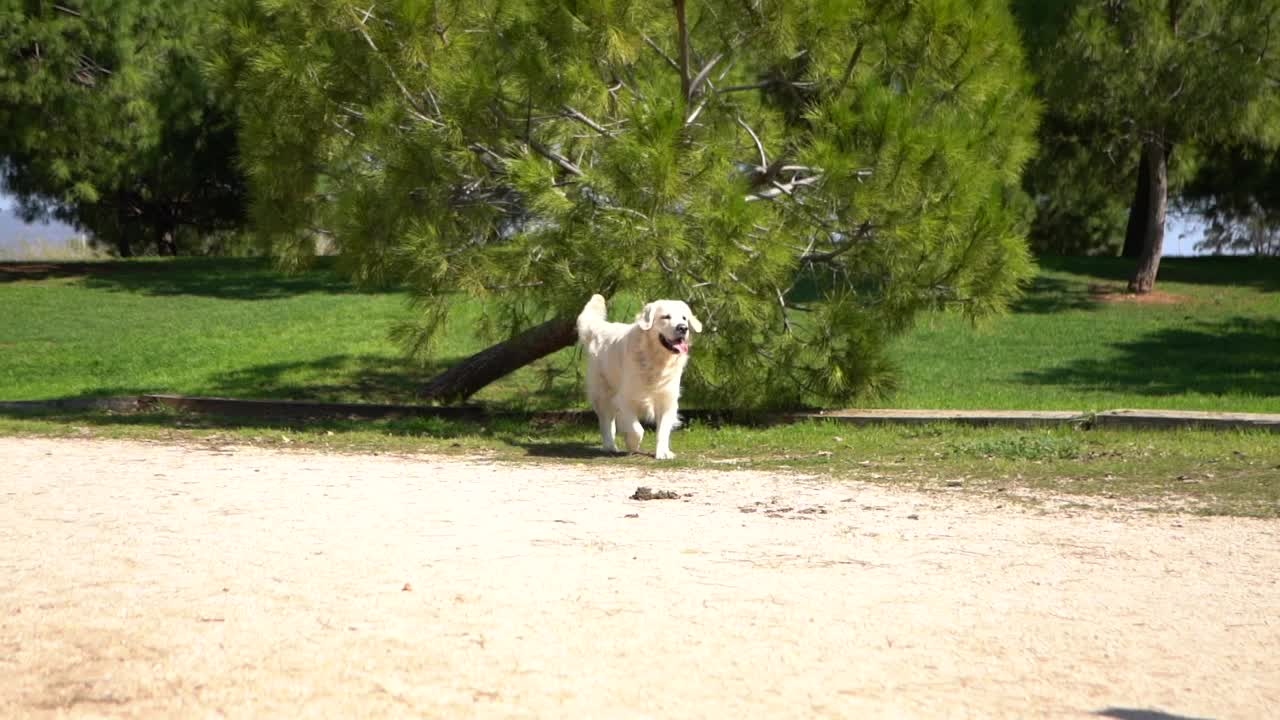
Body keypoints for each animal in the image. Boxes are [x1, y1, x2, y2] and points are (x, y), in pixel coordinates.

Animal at [578, 293, 706, 456]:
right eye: (666, 317)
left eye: (684, 318)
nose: (683, 328)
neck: (656, 360)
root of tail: (601, 327)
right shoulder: (624, 399)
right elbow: (637, 429)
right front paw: (632, 445)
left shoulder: (667, 399)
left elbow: (663, 430)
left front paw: (663, 452)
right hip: (603, 391)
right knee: (606, 419)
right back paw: (610, 445)